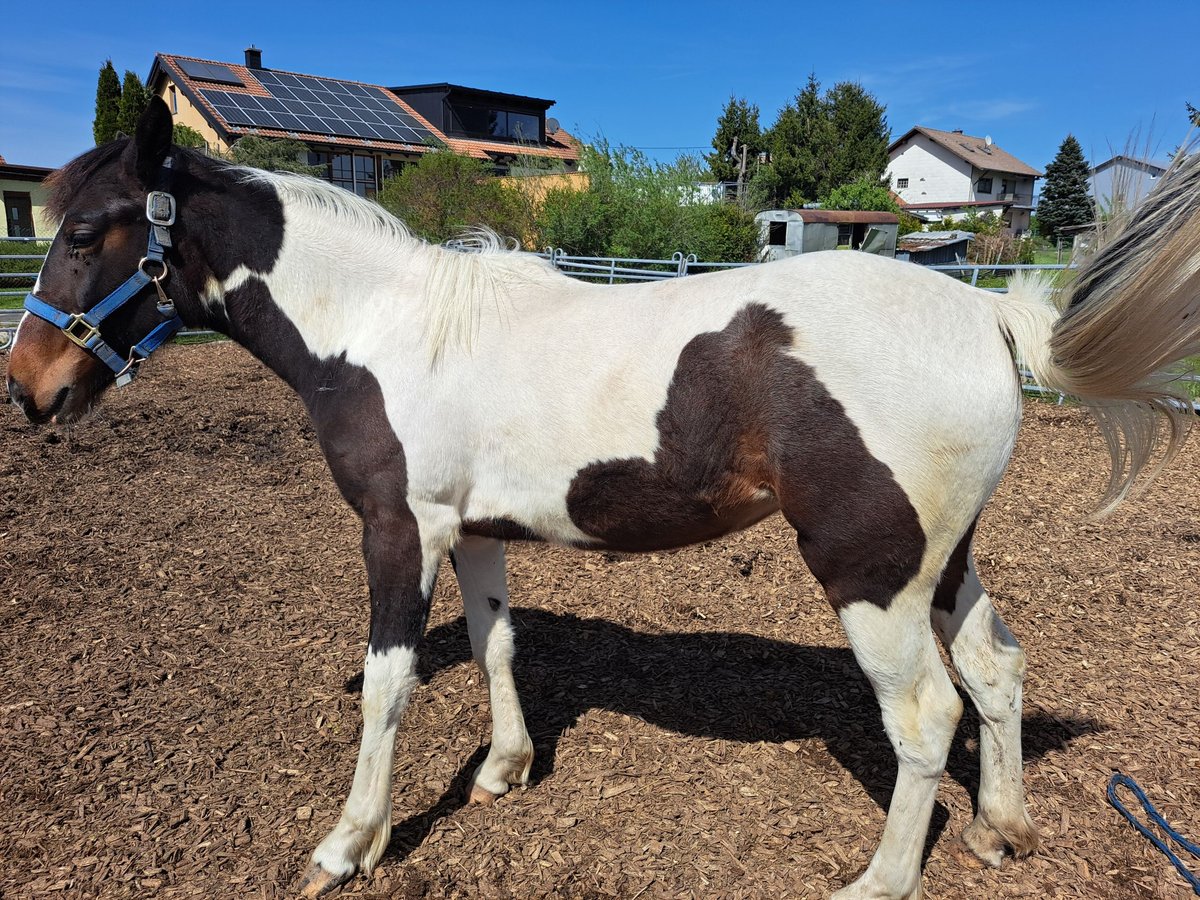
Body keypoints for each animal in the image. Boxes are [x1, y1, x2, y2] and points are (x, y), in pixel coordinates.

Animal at [9, 95, 1200, 897]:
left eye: (87, 231)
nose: (30, 388)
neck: (383, 330)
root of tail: (985, 315)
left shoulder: (400, 532)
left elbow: (390, 684)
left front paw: (351, 843)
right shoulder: (473, 533)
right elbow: (496, 644)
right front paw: (504, 768)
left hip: (869, 570)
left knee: (926, 714)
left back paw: (883, 879)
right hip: (939, 560)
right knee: (997, 674)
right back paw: (1003, 829)